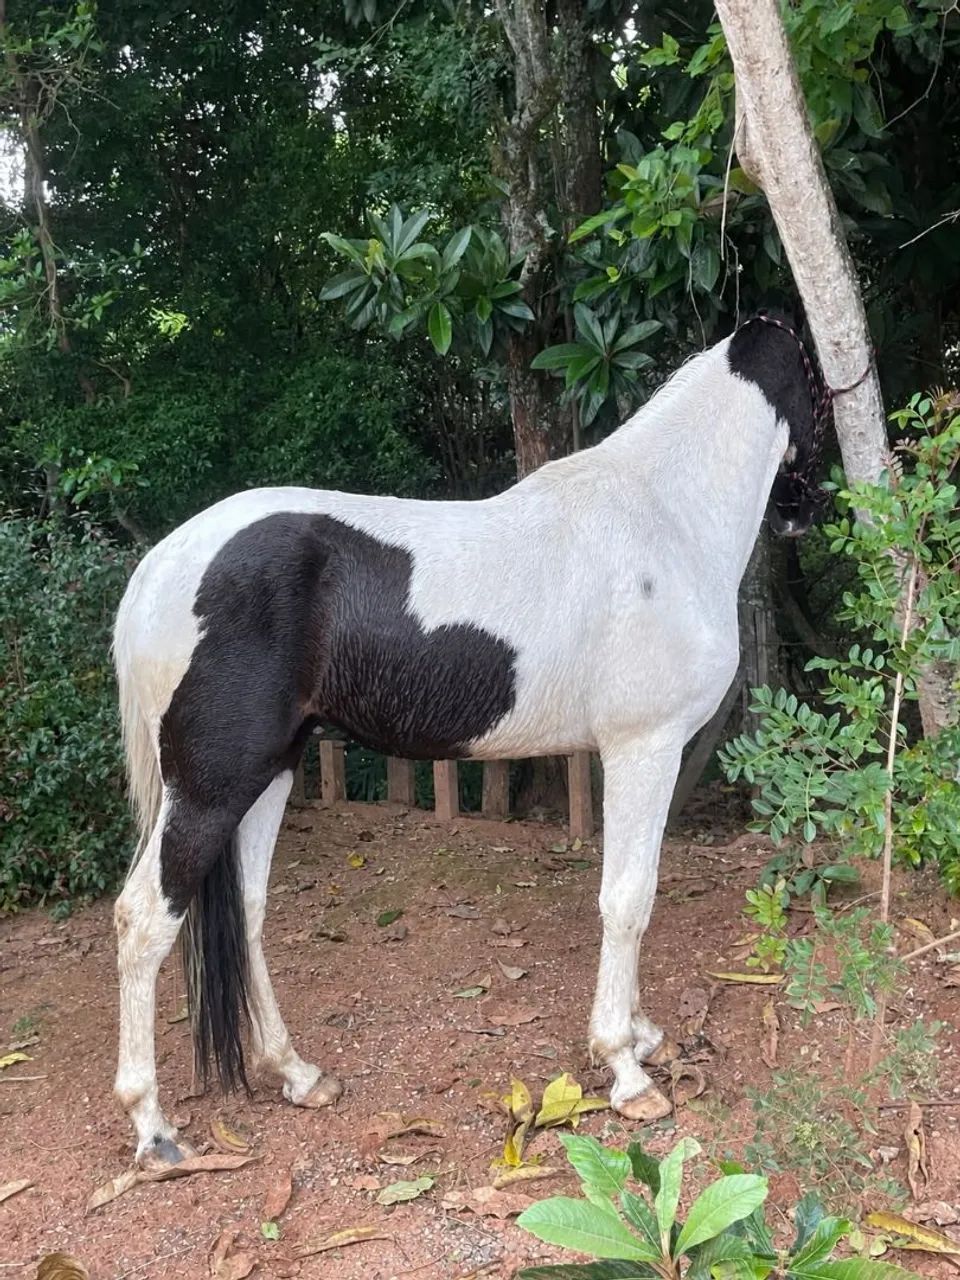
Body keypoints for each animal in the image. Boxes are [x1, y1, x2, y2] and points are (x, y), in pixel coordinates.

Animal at [112, 316, 822, 1169]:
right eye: (816, 376)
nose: (805, 512)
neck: (665, 518)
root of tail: (158, 568)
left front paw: (642, 1036)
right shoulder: (642, 749)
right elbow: (627, 901)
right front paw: (625, 1069)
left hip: (269, 774)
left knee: (246, 914)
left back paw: (297, 1073)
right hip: (210, 788)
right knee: (143, 921)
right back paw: (153, 1129)